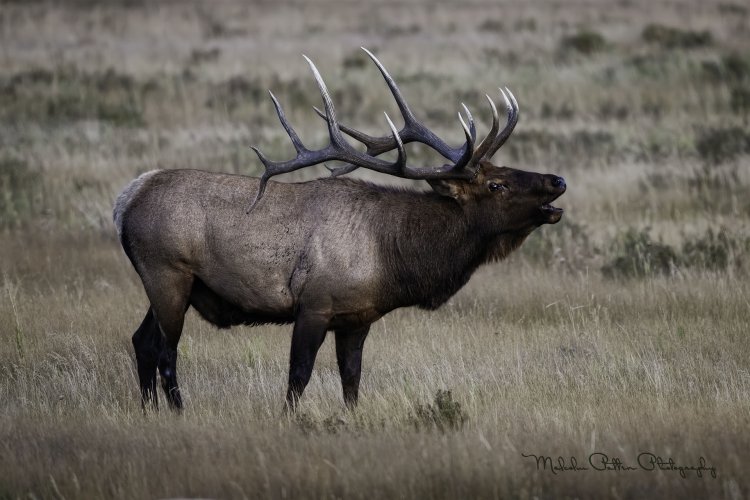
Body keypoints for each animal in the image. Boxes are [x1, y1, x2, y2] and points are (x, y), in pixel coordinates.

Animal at [114, 48, 568, 412]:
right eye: (497, 185)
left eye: (504, 169)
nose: (558, 180)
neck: (392, 257)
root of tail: (126, 199)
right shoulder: (314, 305)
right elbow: (298, 376)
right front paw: (289, 420)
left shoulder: (358, 317)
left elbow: (352, 380)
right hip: (168, 274)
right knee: (166, 352)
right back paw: (178, 412)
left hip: (172, 285)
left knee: (142, 341)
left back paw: (149, 410)